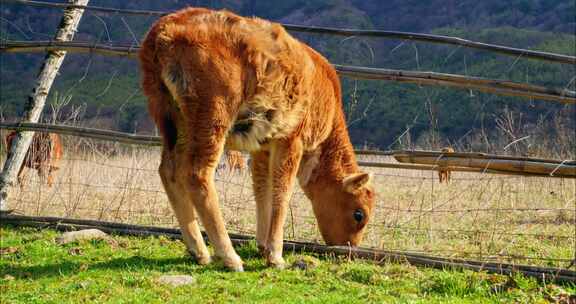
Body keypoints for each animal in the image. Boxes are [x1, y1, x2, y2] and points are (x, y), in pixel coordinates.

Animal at [138, 8, 374, 272]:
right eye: (359, 214)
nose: (348, 251)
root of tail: (164, 31)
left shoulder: (263, 148)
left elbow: (263, 189)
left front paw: (262, 245)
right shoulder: (291, 141)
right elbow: (282, 192)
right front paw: (276, 256)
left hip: (176, 123)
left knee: (168, 170)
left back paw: (199, 252)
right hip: (213, 118)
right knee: (197, 173)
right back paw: (229, 257)